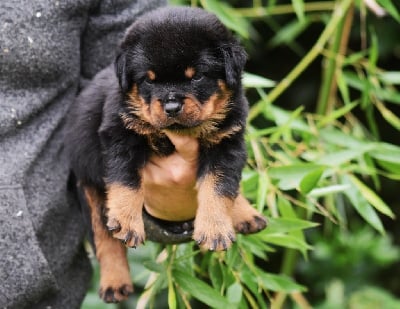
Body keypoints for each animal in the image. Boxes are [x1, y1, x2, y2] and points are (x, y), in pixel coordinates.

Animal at [65, 6, 266, 302]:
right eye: (148, 80)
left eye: (196, 76)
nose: (171, 106)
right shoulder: (120, 133)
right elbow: (126, 182)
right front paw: (127, 221)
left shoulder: (228, 141)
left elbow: (219, 186)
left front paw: (215, 228)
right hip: (88, 186)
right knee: (104, 239)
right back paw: (115, 282)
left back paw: (246, 214)